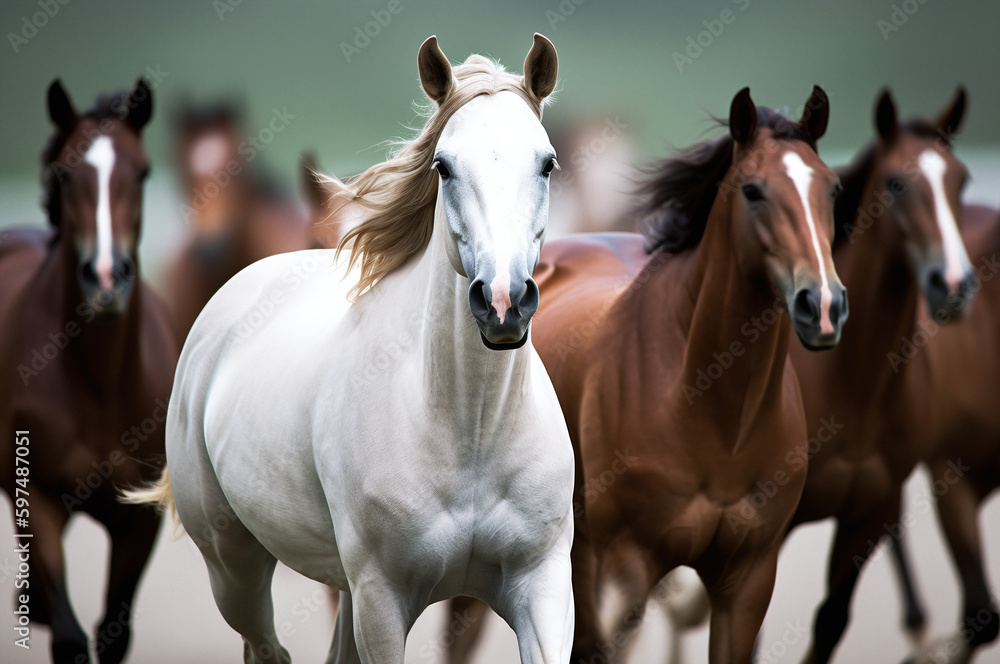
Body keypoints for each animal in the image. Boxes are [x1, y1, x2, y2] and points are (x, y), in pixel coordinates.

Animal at [0, 79, 176, 664]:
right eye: (63, 173)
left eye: (142, 172)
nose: (104, 278)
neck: (100, 383)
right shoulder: (38, 499)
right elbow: (72, 639)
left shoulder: (140, 516)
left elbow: (113, 632)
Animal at [784, 87, 976, 664]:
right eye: (895, 183)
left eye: (962, 181)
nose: (952, 284)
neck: (852, 383)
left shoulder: (869, 511)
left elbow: (830, 621)